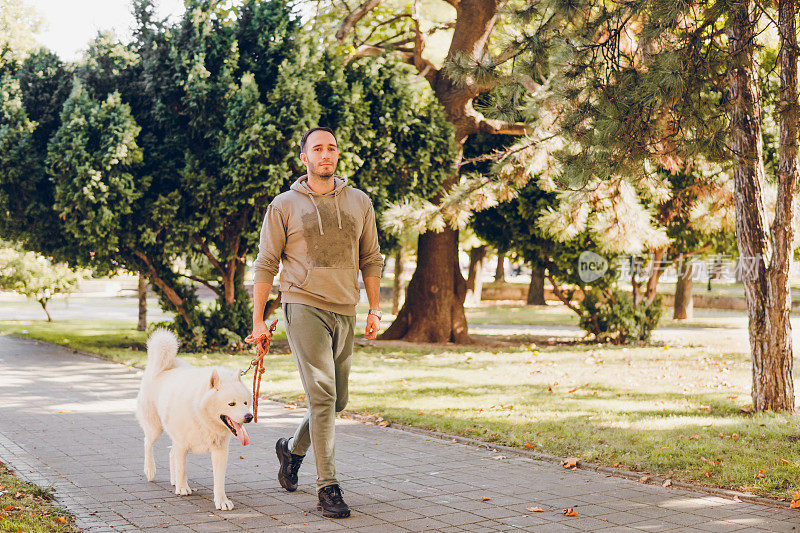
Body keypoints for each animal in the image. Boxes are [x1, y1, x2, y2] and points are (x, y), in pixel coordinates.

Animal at [134, 328, 253, 512]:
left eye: (246, 403)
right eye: (231, 404)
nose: (249, 417)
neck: (202, 416)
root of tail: (162, 368)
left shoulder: (220, 451)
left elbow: (219, 479)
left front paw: (221, 500)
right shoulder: (182, 444)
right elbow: (182, 467)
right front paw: (183, 488)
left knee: (170, 453)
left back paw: (174, 480)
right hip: (155, 428)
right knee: (148, 443)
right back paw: (150, 470)